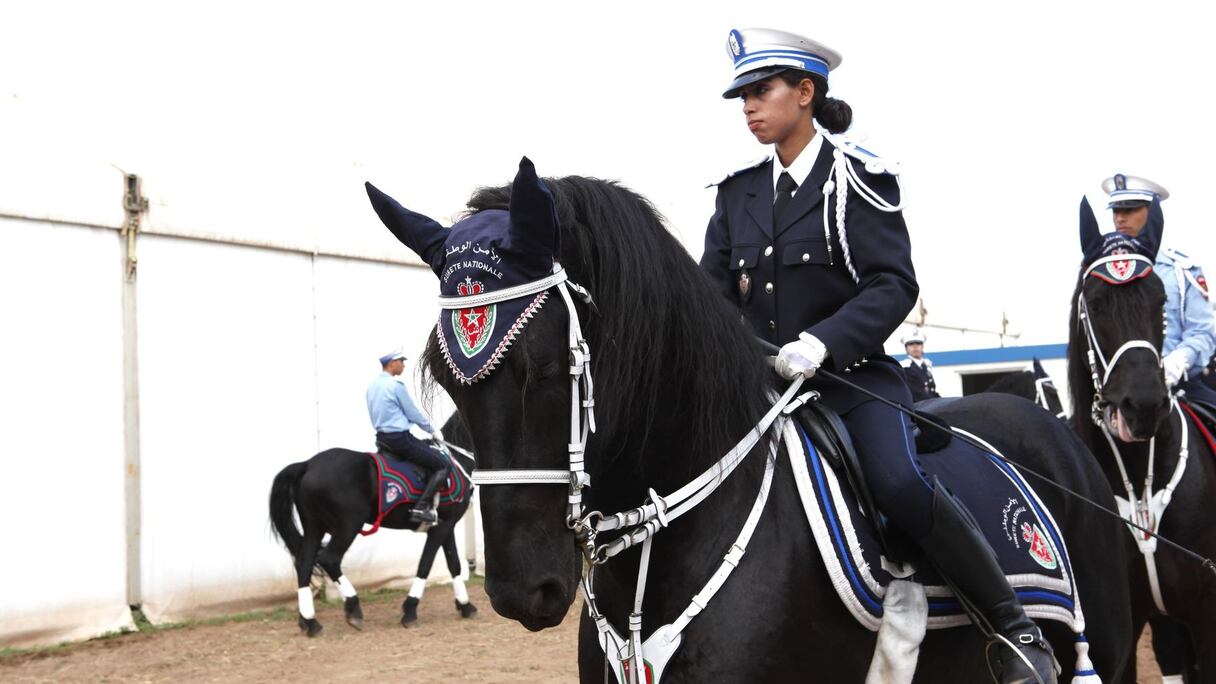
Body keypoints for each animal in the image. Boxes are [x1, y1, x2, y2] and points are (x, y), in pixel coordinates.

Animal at [269, 413, 474, 637]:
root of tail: (307, 464)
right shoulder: (442, 527)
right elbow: (425, 565)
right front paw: (410, 611)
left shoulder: (446, 526)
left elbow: (454, 564)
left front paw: (466, 606)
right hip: (348, 526)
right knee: (329, 559)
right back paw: (353, 609)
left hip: (315, 527)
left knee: (304, 563)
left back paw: (311, 622)